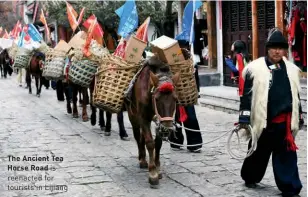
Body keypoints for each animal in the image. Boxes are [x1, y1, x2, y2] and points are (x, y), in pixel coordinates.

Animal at [125, 56, 180, 187]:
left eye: (175, 99)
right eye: (157, 98)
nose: (167, 127)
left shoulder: (159, 122)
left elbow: (158, 143)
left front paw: (158, 168)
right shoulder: (143, 118)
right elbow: (150, 143)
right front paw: (153, 173)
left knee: (141, 137)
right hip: (133, 117)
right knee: (137, 137)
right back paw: (142, 160)